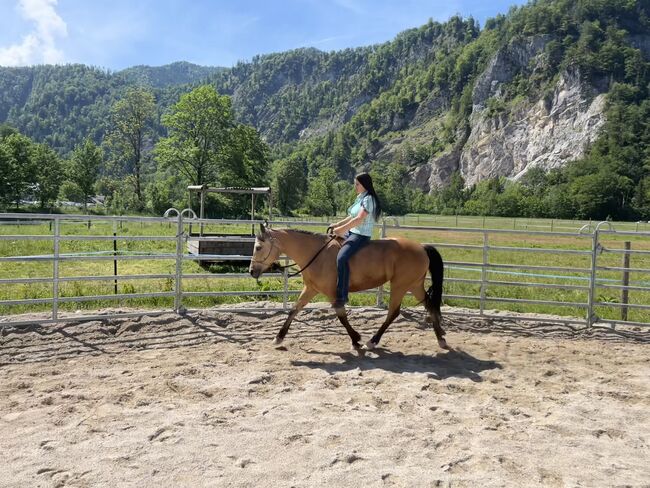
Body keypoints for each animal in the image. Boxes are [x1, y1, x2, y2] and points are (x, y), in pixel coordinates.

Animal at [248, 225, 446, 350]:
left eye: (258, 247)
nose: (251, 271)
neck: (316, 255)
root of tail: (421, 247)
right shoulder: (311, 289)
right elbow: (294, 310)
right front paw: (278, 337)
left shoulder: (332, 293)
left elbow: (341, 316)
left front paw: (356, 339)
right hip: (414, 285)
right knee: (429, 305)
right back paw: (441, 339)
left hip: (400, 285)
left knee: (393, 312)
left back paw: (372, 341)